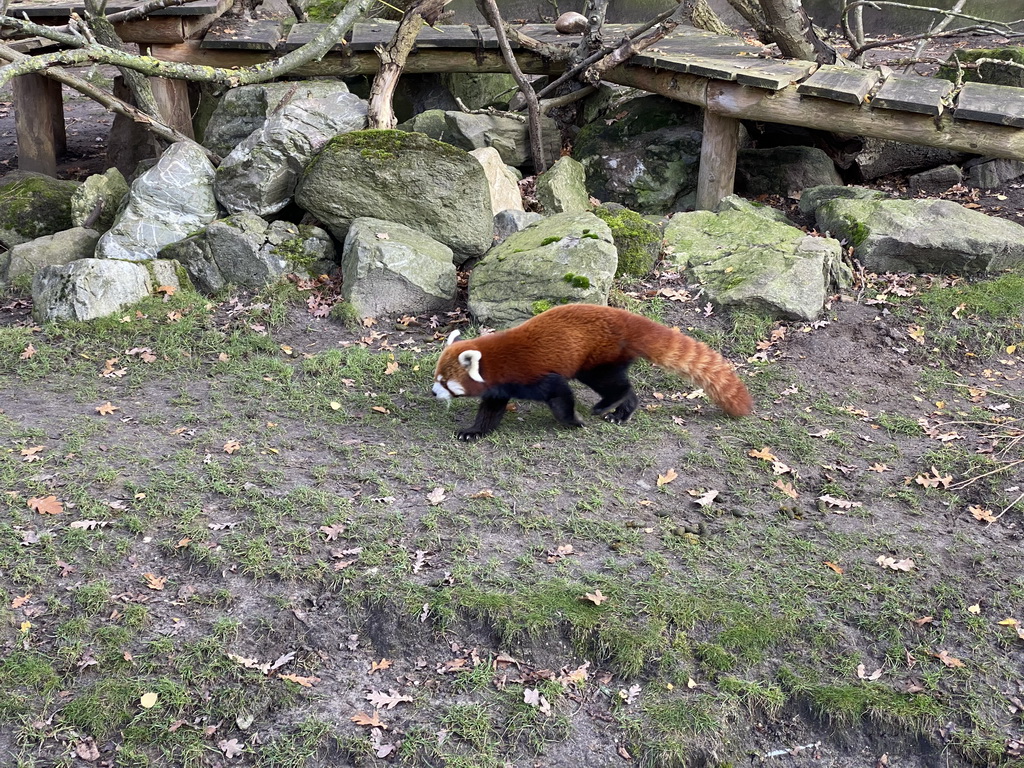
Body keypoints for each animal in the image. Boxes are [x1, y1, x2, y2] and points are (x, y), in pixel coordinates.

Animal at [432, 303, 753, 442]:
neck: (495, 362)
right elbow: (491, 410)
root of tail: (625, 319)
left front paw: (573, 422)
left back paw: (607, 405)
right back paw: (622, 412)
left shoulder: (531, 375)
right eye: (436, 380)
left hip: (597, 357)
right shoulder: (500, 388)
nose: (433, 393)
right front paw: (474, 431)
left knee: (612, 383)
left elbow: (560, 394)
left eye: (445, 383)